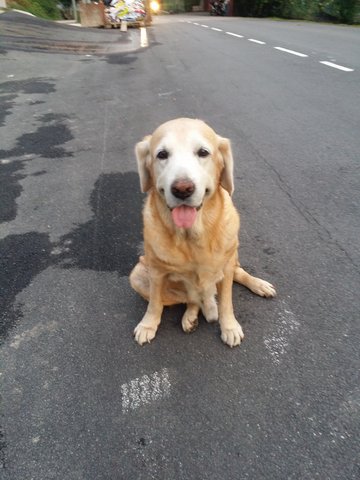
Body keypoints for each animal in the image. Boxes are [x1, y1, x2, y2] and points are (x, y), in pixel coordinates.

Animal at [129, 118, 276, 346]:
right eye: (162, 154)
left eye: (203, 152)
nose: (182, 189)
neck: (191, 236)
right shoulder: (156, 271)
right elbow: (154, 303)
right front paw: (148, 325)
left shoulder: (226, 265)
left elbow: (226, 302)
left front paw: (229, 326)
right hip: (137, 274)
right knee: (191, 300)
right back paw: (191, 316)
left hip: (232, 253)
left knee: (238, 273)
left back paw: (258, 284)